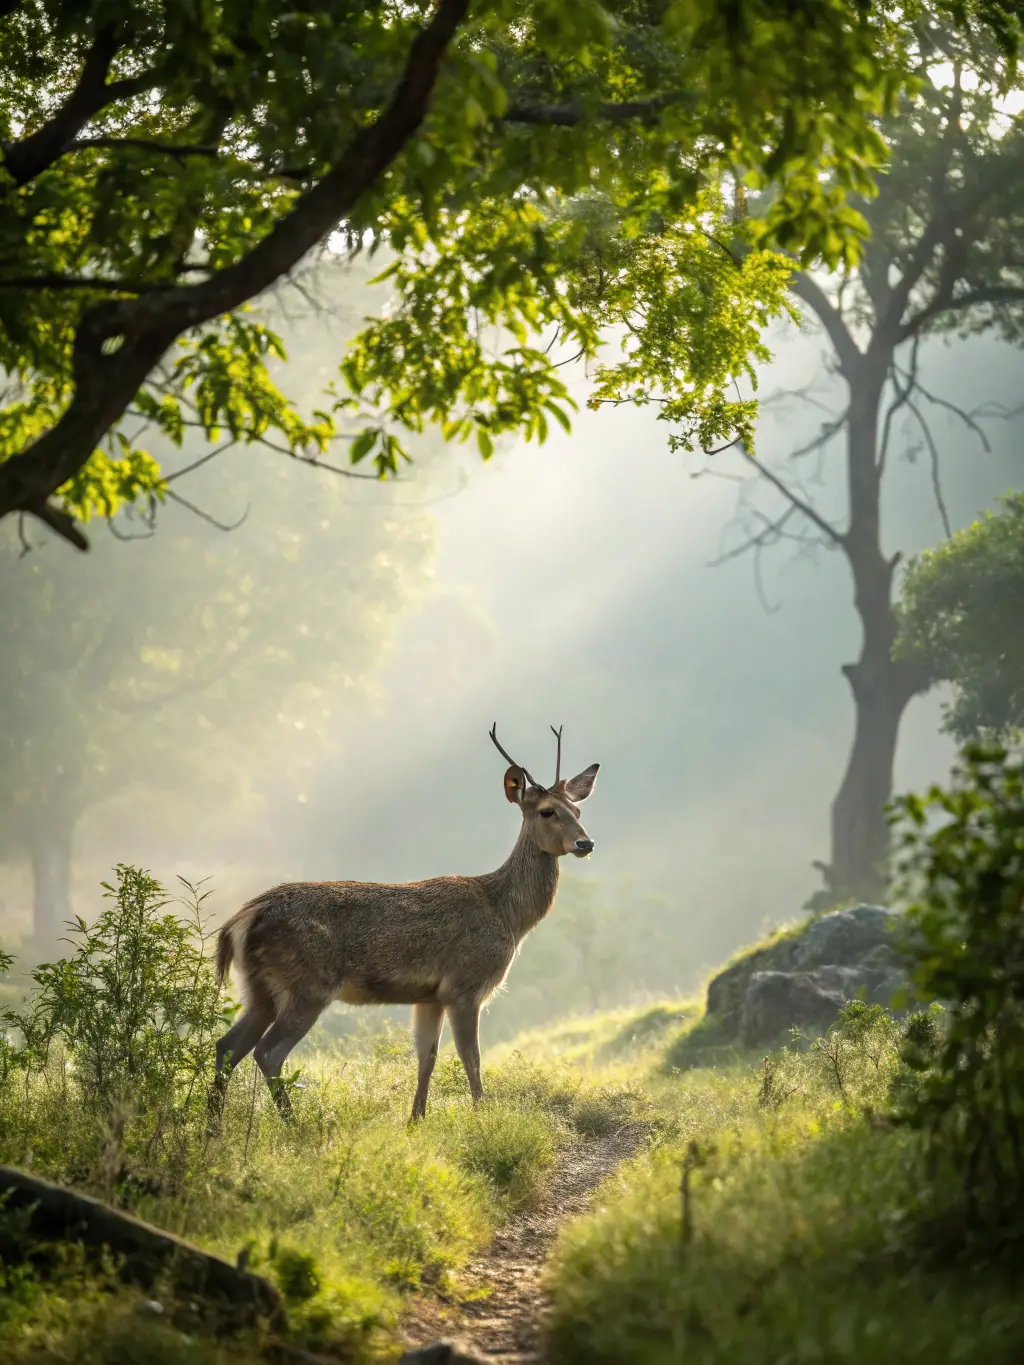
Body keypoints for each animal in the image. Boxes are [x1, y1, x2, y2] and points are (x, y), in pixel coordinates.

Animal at [208, 724, 599, 1128]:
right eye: (547, 811)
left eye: (578, 809)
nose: (585, 842)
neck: (507, 916)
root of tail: (240, 921)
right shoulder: (464, 986)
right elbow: (471, 1058)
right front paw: (482, 1118)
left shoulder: (430, 995)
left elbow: (427, 1057)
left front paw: (415, 1121)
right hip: (307, 984)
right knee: (267, 1052)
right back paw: (295, 1127)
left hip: (260, 988)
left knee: (227, 1046)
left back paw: (213, 1129)